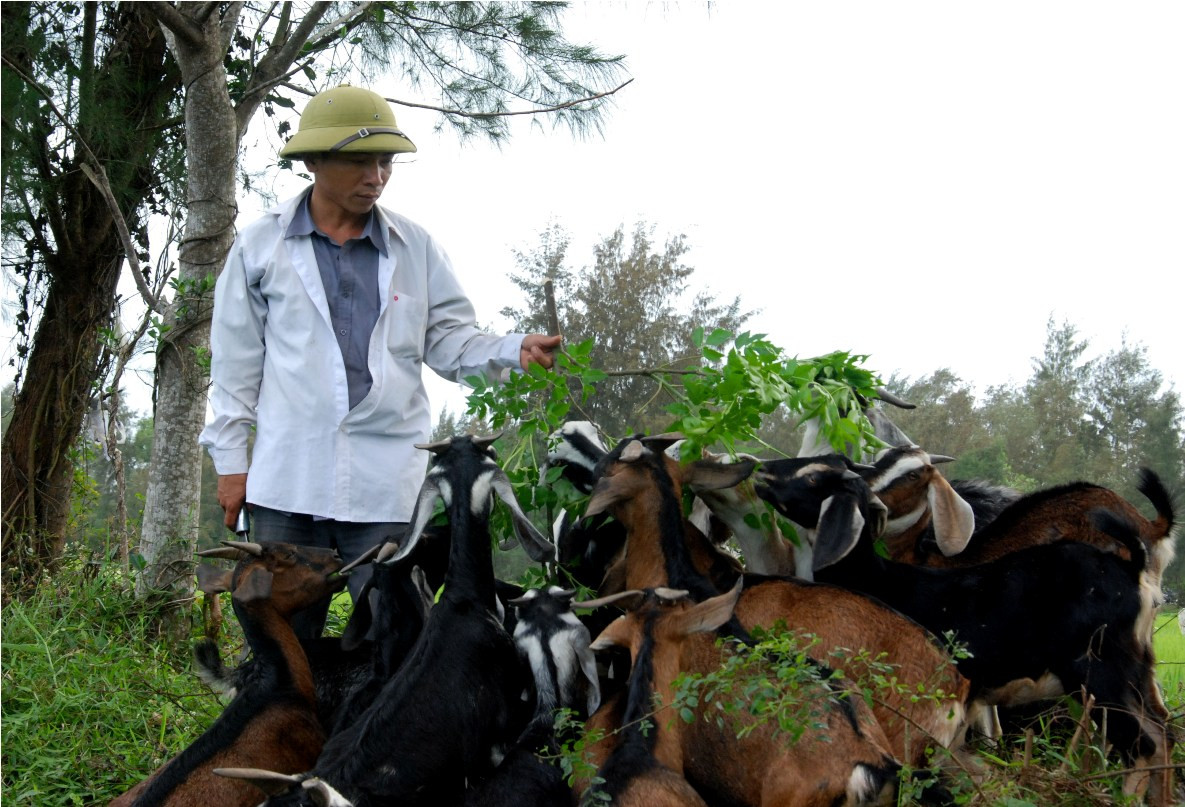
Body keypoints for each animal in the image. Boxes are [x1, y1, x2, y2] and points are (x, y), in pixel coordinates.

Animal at [758, 457, 1175, 801]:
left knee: (1142, 745)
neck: (879, 576)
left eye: (814, 476)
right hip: (1136, 671)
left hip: (1099, 673)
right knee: (1163, 734)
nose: (760, 470)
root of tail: (1133, 566)